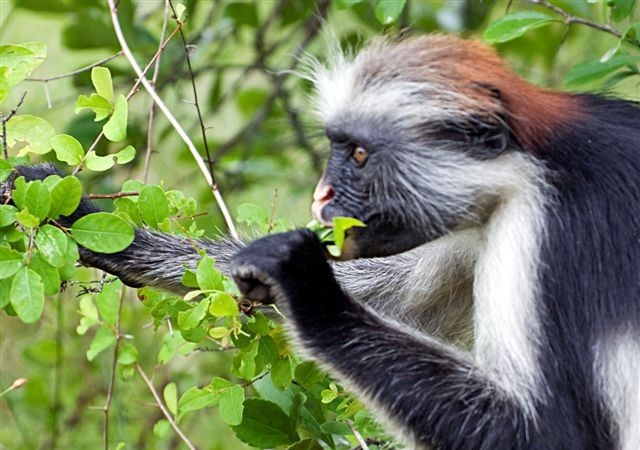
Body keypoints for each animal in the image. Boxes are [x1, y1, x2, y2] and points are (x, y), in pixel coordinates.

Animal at [5, 36, 640, 450]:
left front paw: (305, 285)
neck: (541, 158)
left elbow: (551, 435)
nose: (322, 195)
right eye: (337, 147)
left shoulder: (542, 230)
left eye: (357, 154)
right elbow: (406, 301)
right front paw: (89, 223)